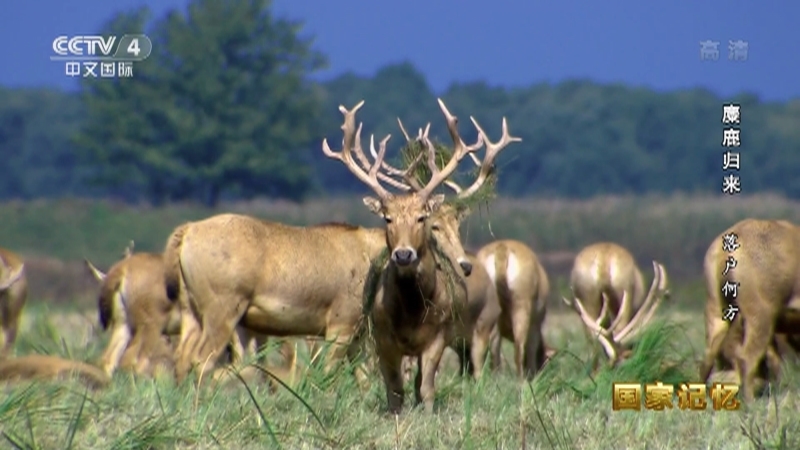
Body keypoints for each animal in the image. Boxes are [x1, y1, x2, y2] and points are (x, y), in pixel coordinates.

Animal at [322, 98, 519, 413]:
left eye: (421, 218)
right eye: (387, 218)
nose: (403, 254)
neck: (412, 313)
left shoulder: (438, 336)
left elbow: (426, 387)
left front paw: (427, 414)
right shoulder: (382, 337)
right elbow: (394, 389)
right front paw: (396, 416)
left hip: (479, 329)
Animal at [476, 240, 550, 380]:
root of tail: (502, 247)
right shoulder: (535, 328)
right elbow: (531, 350)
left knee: (489, 348)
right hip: (521, 310)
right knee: (518, 349)